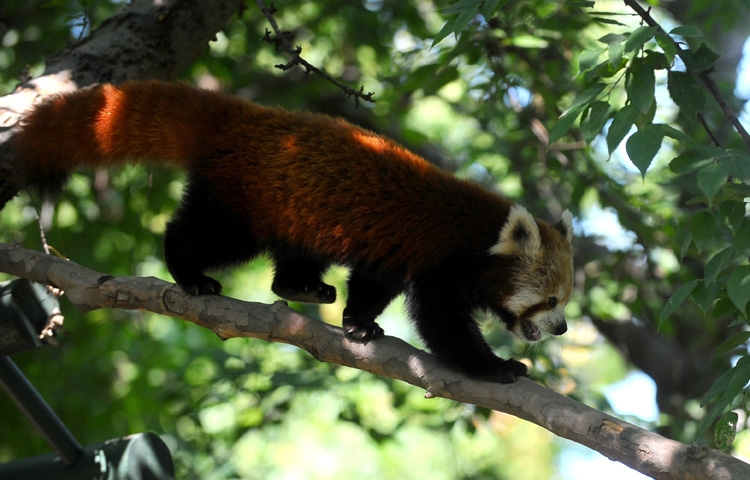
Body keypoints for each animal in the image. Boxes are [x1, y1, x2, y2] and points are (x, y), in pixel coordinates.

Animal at [10, 81, 576, 382]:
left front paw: (358, 324)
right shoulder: (440, 257)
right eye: (550, 301)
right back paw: (188, 273)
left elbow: (372, 282)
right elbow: (442, 324)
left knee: (293, 257)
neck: (482, 235)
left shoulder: (393, 252)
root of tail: (244, 119)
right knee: (203, 235)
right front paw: (494, 368)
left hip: (298, 211)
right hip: (243, 204)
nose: (564, 328)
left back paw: (300, 288)